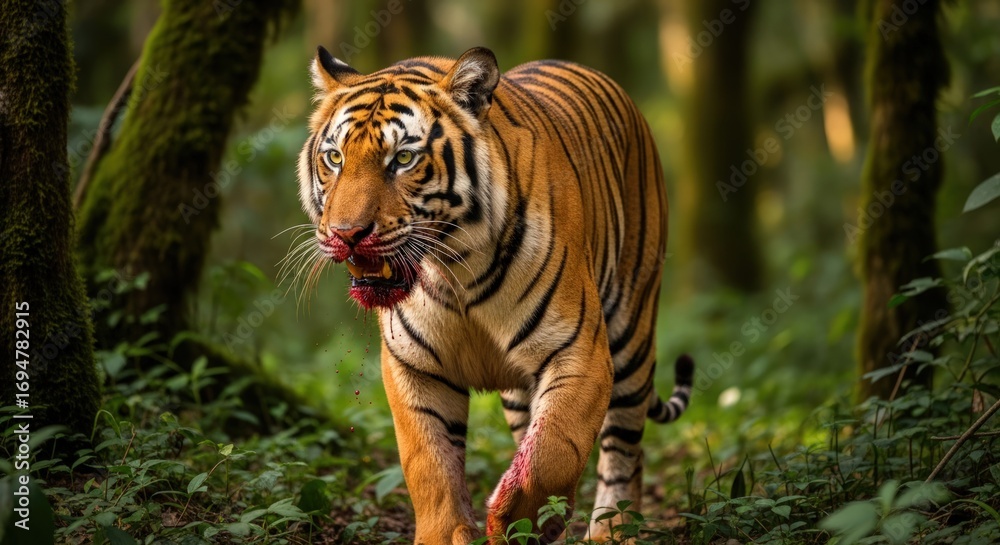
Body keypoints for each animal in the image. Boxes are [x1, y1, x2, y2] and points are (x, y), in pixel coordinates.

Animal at [295, 45, 694, 545]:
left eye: (403, 159)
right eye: (334, 157)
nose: (346, 235)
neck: (452, 268)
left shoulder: (579, 350)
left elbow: (554, 450)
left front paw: (513, 520)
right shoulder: (414, 364)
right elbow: (430, 465)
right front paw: (451, 532)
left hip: (631, 333)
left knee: (624, 449)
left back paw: (613, 530)